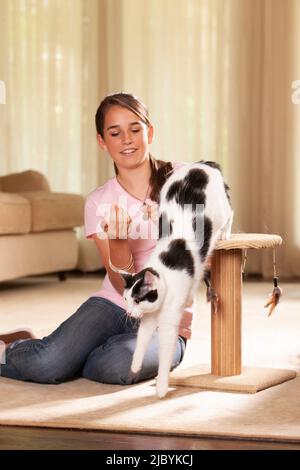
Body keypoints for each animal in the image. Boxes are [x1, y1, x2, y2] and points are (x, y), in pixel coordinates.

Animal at [119, 161, 232, 396]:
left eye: (137, 299)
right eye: (126, 299)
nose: (129, 312)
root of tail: (202, 164)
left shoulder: (170, 321)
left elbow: (164, 353)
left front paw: (161, 387)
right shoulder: (149, 319)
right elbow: (141, 339)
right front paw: (135, 365)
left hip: (221, 209)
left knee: (231, 214)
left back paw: (226, 234)